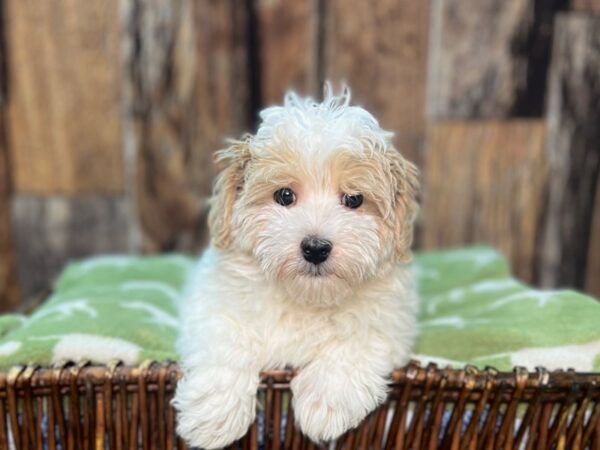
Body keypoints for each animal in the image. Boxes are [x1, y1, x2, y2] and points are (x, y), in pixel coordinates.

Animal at [172, 86, 418, 448]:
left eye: (354, 199)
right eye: (285, 195)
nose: (315, 248)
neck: (305, 297)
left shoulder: (390, 321)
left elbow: (357, 342)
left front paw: (324, 405)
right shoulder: (210, 305)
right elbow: (227, 342)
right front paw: (214, 416)